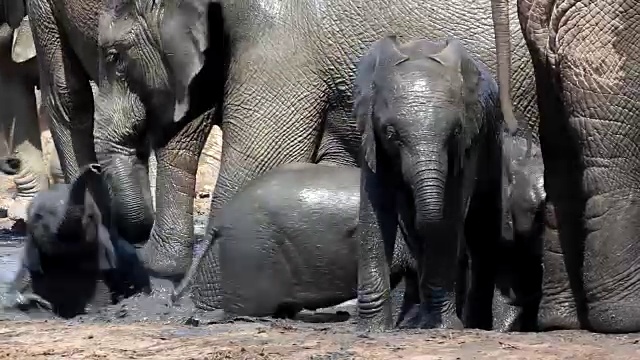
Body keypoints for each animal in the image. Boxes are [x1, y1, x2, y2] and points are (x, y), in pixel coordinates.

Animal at [356, 36, 510, 332]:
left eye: (456, 131)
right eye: (391, 133)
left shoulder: (468, 145)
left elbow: (448, 214)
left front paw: (441, 327)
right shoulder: (370, 138)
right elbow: (376, 210)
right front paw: (373, 330)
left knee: (481, 228)